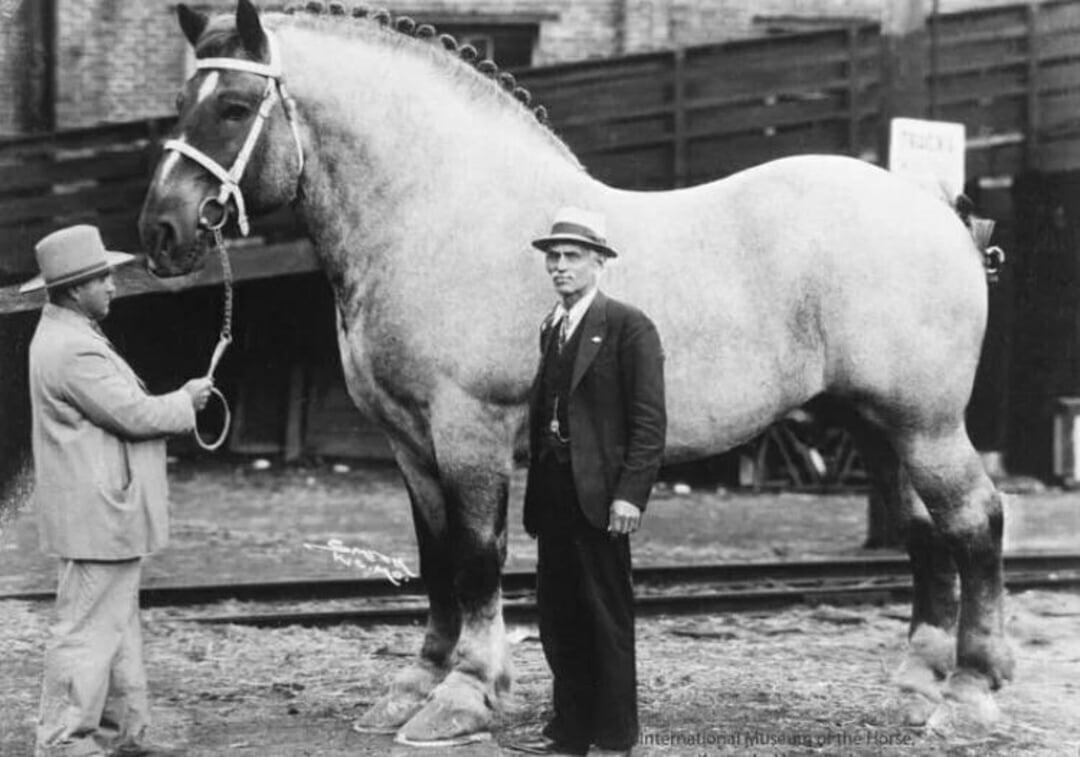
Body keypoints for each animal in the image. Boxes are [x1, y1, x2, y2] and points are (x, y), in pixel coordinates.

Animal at [136, 0, 1013, 745]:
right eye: (181, 101)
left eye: (234, 107)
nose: (162, 231)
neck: (442, 211)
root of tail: (940, 211)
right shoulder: (410, 441)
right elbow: (434, 556)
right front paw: (415, 684)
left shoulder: (470, 430)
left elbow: (475, 556)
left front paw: (465, 695)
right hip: (879, 425)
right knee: (925, 532)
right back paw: (917, 684)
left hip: (926, 424)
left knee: (975, 521)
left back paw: (970, 693)